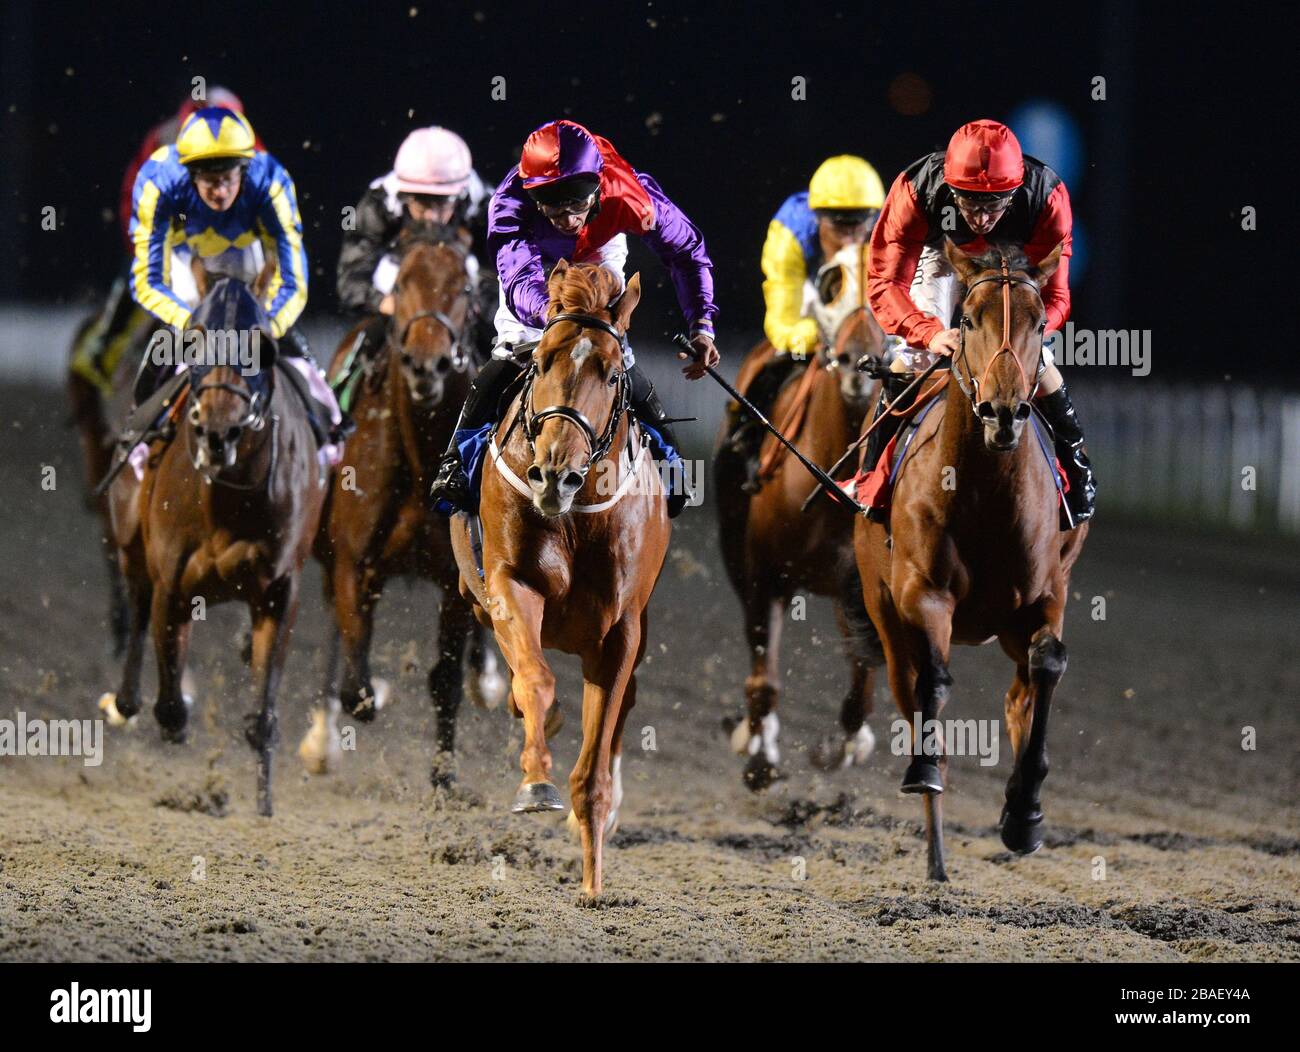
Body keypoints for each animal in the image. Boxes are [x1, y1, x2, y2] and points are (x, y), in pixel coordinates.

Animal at [107, 270, 330, 811]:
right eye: (193, 339)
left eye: (262, 348)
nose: (217, 431)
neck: (228, 499)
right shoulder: (173, 586)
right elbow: (170, 705)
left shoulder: (279, 591)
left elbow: (262, 716)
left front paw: (264, 803)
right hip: (131, 539)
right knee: (136, 601)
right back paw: (124, 700)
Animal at [301, 234, 504, 785]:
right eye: (401, 282)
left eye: (462, 286)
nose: (426, 364)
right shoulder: (354, 566)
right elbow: (357, 688)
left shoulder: (453, 580)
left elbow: (445, 681)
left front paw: (443, 781)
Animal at [449, 260, 670, 894]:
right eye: (542, 360)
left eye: (613, 371)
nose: (554, 475)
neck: (575, 517)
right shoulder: (510, 586)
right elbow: (536, 682)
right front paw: (535, 782)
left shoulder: (621, 630)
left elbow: (595, 762)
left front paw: (593, 878)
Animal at [717, 244, 889, 790]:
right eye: (832, 284)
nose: (861, 364)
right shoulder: (763, 576)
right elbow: (763, 677)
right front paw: (759, 754)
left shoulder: (862, 587)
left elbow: (863, 685)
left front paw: (841, 747)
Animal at [852, 237, 1086, 879]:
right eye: (968, 320)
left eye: (1039, 321)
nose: (1003, 412)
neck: (986, 492)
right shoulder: (922, 593)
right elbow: (934, 681)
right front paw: (925, 773)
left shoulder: (1046, 593)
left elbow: (1049, 664)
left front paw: (1024, 813)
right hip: (884, 609)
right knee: (910, 689)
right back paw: (935, 853)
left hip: (1008, 623)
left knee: (1020, 692)